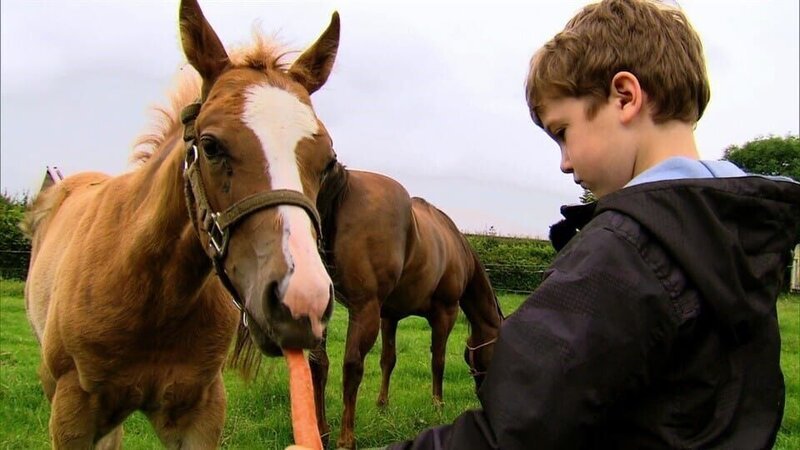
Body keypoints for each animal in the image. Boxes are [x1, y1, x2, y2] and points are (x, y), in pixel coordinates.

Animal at [23, 1, 339, 447]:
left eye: (327, 161)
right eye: (210, 146)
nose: (302, 301)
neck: (154, 297)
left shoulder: (200, 409)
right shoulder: (71, 412)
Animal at [311, 162, 504, 449]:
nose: (484, 395)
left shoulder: (389, 316)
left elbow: (388, 360)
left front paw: (382, 405)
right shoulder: (445, 312)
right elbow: (438, 360)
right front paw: (438, 405)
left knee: (319, 363)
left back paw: (321, 431)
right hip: (364, 310)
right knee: (351, 366)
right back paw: (346, 439)